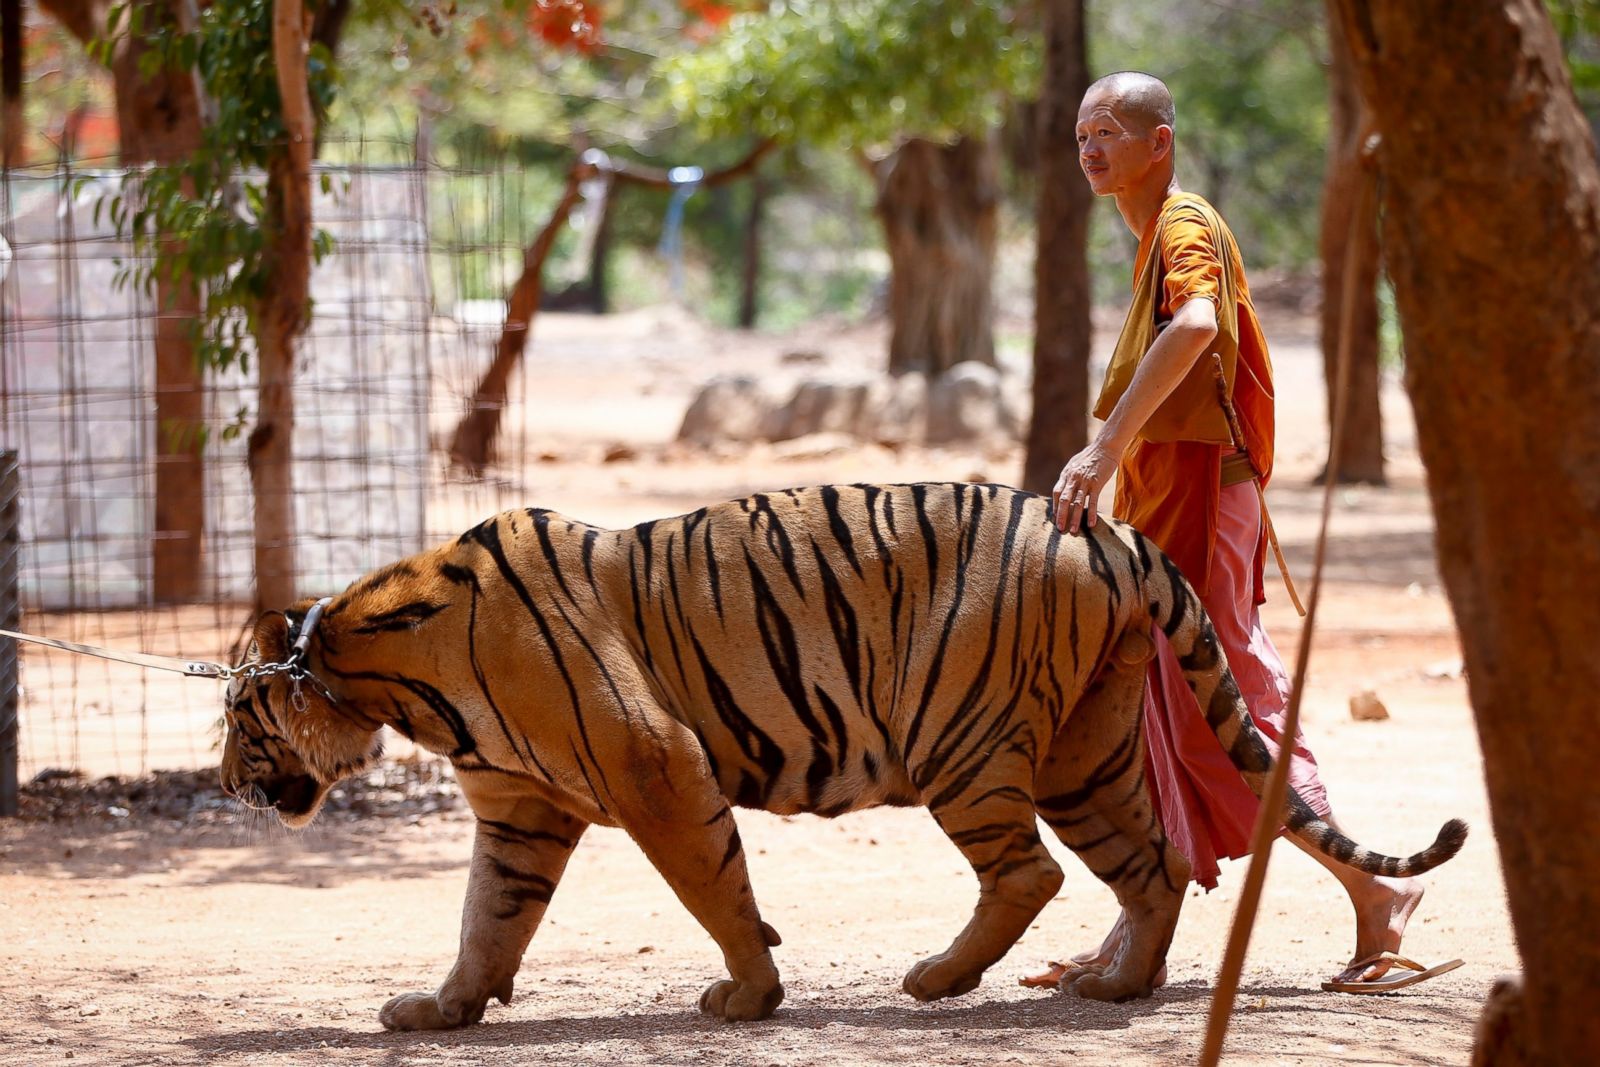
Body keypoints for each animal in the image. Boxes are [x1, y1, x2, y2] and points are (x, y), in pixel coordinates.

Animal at [219, 483, 1465, 1023]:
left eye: (236, 715)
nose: (229, 781)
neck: (385, 671)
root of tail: (1100, 526)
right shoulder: (519, 809)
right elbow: (488, 916)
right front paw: (442, 1007)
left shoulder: (655, 763)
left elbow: (715, 886)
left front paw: (749, 992)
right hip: (1089, 747)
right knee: (1151, 861)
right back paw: (1117, 983)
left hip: (960, 736)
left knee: (1030, 870)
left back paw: (941, 977)